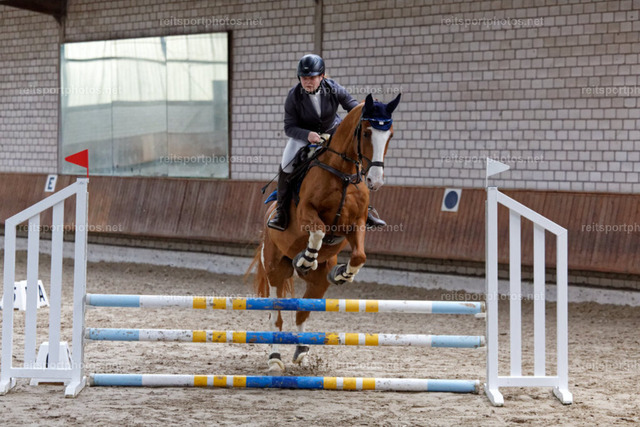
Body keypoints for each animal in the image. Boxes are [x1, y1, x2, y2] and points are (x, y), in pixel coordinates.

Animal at [248, 93, 401, 372]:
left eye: (390, 135)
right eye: (366, 132)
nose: (375, 181)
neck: (343, 173)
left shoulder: (356, 223)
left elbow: (359, 255)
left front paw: (343, 273)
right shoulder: (307, 213)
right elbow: (318, 233)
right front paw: (306, 258)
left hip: (318, 285)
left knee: (302, 312)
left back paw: (302, 352)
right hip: (276, 269)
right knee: (277, 316)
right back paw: (275, 358)